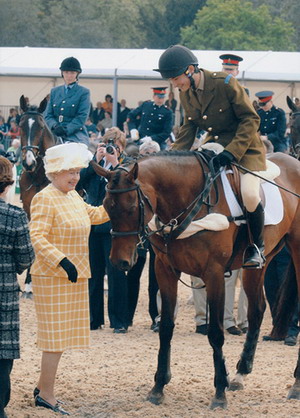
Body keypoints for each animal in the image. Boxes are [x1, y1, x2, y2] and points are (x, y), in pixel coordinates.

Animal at [91, 150, 300, 408]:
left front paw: (219, 392)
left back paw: (295, 384)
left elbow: (216, 332)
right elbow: (166, 327)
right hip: (260, 262)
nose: (120, 262)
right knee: (257, 309)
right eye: (106, 206)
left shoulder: (214, 273)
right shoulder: (165, 269)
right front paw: (158, 387)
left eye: (131, 207)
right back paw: (241, 373)